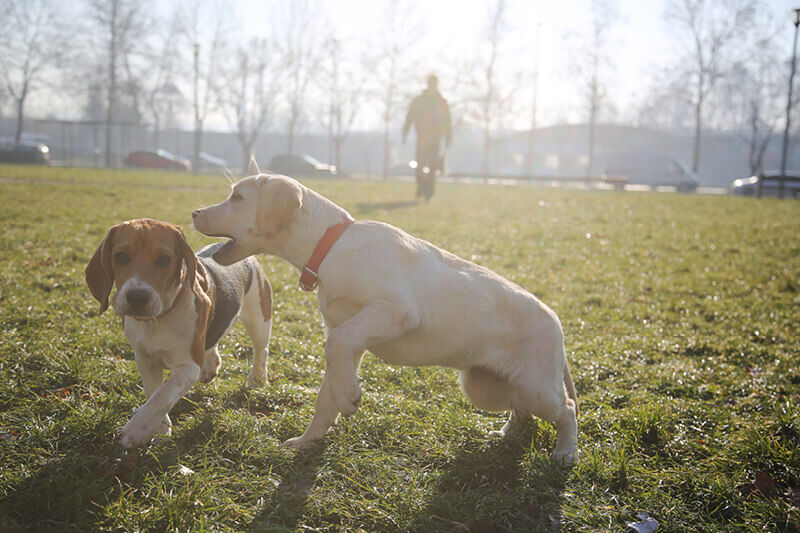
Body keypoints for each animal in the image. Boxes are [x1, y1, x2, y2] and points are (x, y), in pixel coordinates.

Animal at [85, 218, 272, 446]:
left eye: (164, 259)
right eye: (120, 256)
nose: (137, 297)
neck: (159, 319)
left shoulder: (187, 367)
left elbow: (163, 395)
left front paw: (137, 429)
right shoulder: (144, 359)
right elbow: (153, 392)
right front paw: (160, 428)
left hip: (259, 320)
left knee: (261, 350)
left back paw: (258, 379)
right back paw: (211, 365)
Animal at [194, 156, 580, 464]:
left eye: (238, 198)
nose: (195, 213)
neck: (332, 247)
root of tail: (556, 322)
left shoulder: (394, 312)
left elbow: (335, 353)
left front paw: (349, 398)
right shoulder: (348, 333)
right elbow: (326, 392)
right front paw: (310, 438)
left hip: (537, 387)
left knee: (567, 410)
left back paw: (566, 453)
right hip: (484, 388)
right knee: (522, 410)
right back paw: (508, 434)